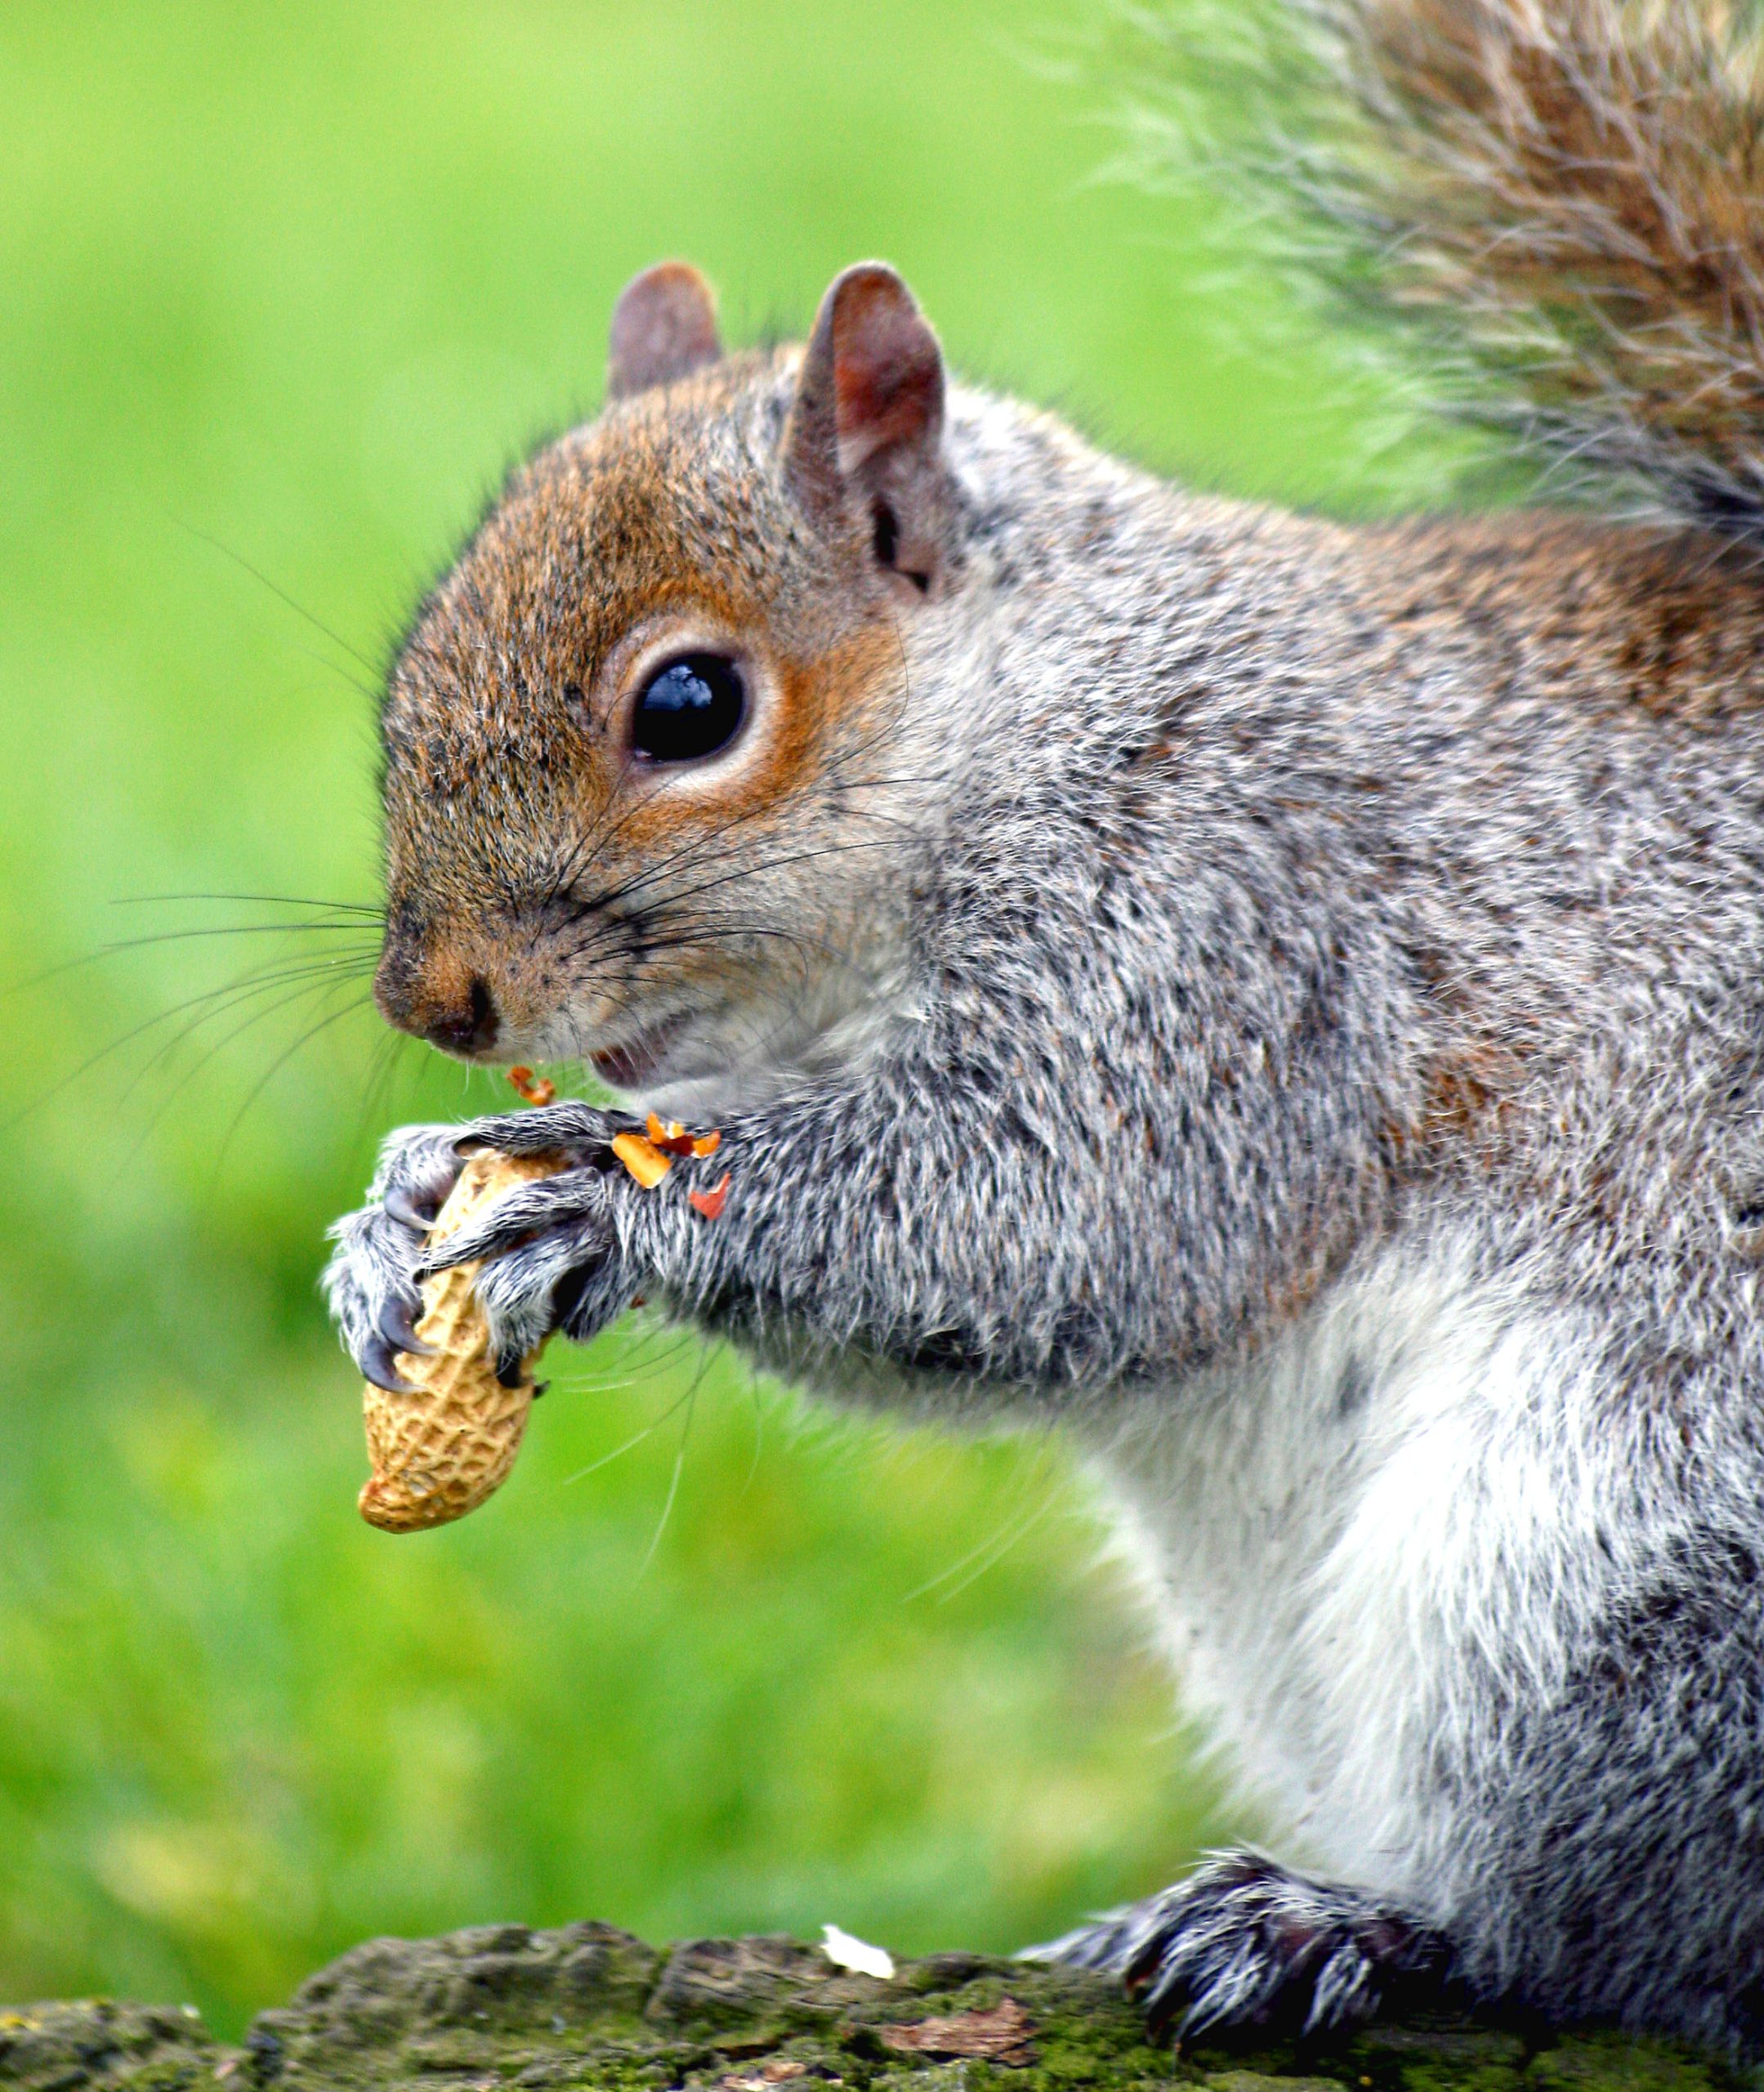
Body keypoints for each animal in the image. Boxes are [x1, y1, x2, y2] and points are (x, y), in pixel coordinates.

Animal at [328, 0, 1764, 2058]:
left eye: (686, 704)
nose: (432, 1000)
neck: (1035, 699)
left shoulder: (1234, 920)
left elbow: (1058, 1214)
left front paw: (587, 1204)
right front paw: (395, 1214)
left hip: (1601, 1566)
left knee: (1613, 1924)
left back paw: (1348, 1921)